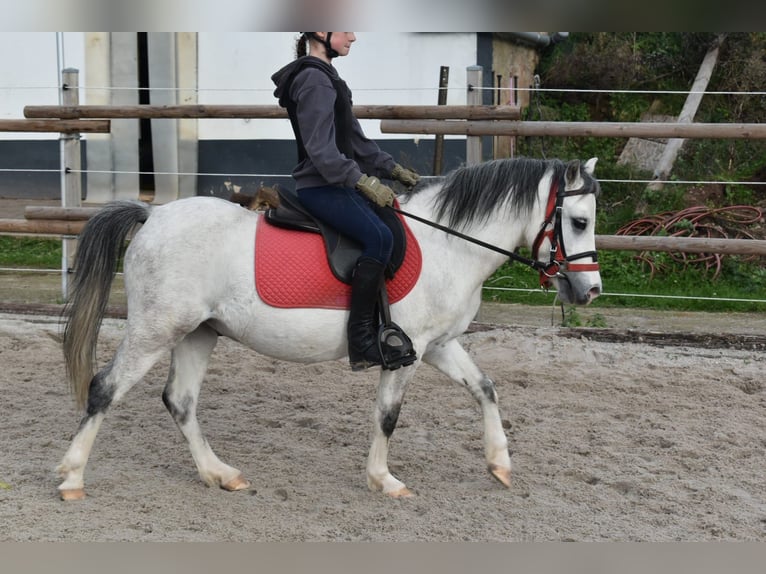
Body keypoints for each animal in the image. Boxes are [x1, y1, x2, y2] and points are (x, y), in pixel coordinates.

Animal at [56, 156, 602, 501]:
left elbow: (485, 389)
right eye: (578, 221)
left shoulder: (439, 345)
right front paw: (384, 480)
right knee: (104, 388)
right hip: (157, 328)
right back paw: (71, 478)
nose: (590, 290)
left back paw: (221, 474)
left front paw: (500, 464)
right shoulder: (407, 351)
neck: (450, 245)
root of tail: (152, 216)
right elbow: (388, 416)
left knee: (180, 402)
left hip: (198, 332)